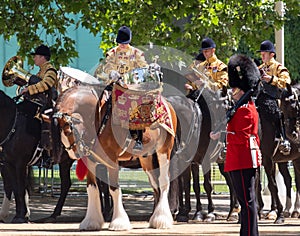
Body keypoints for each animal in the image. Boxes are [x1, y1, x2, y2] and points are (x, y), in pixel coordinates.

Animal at [51, 68, 178, 230]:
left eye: (68, 130)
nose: (74, 153)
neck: (98, 116)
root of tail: (168, 104)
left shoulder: (112, 160)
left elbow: (114, 189)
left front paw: (119, 222)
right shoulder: (91, 161)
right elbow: (92, 188)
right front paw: (91, 221)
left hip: (163, 151)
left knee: (163, 181)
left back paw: (162, 219)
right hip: (146, 158)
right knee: (155, 185)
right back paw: (154, 219)